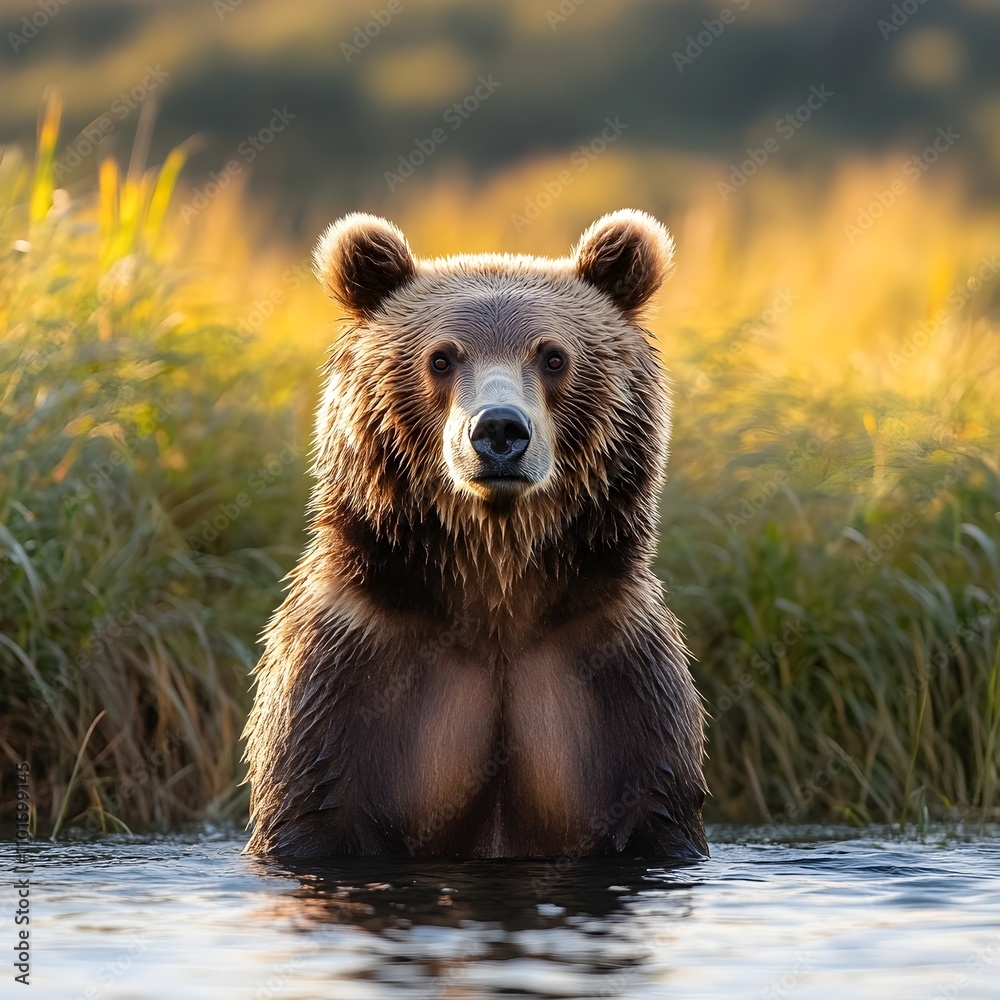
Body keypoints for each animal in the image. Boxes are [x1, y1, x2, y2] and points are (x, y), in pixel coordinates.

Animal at [243, 209, 708, 860]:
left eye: (553, 356)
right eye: (441, 358)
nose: (499, 430)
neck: (495, 585)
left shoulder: (616, 673)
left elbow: (652, 798)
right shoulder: (348, 669)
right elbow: (317, 797)